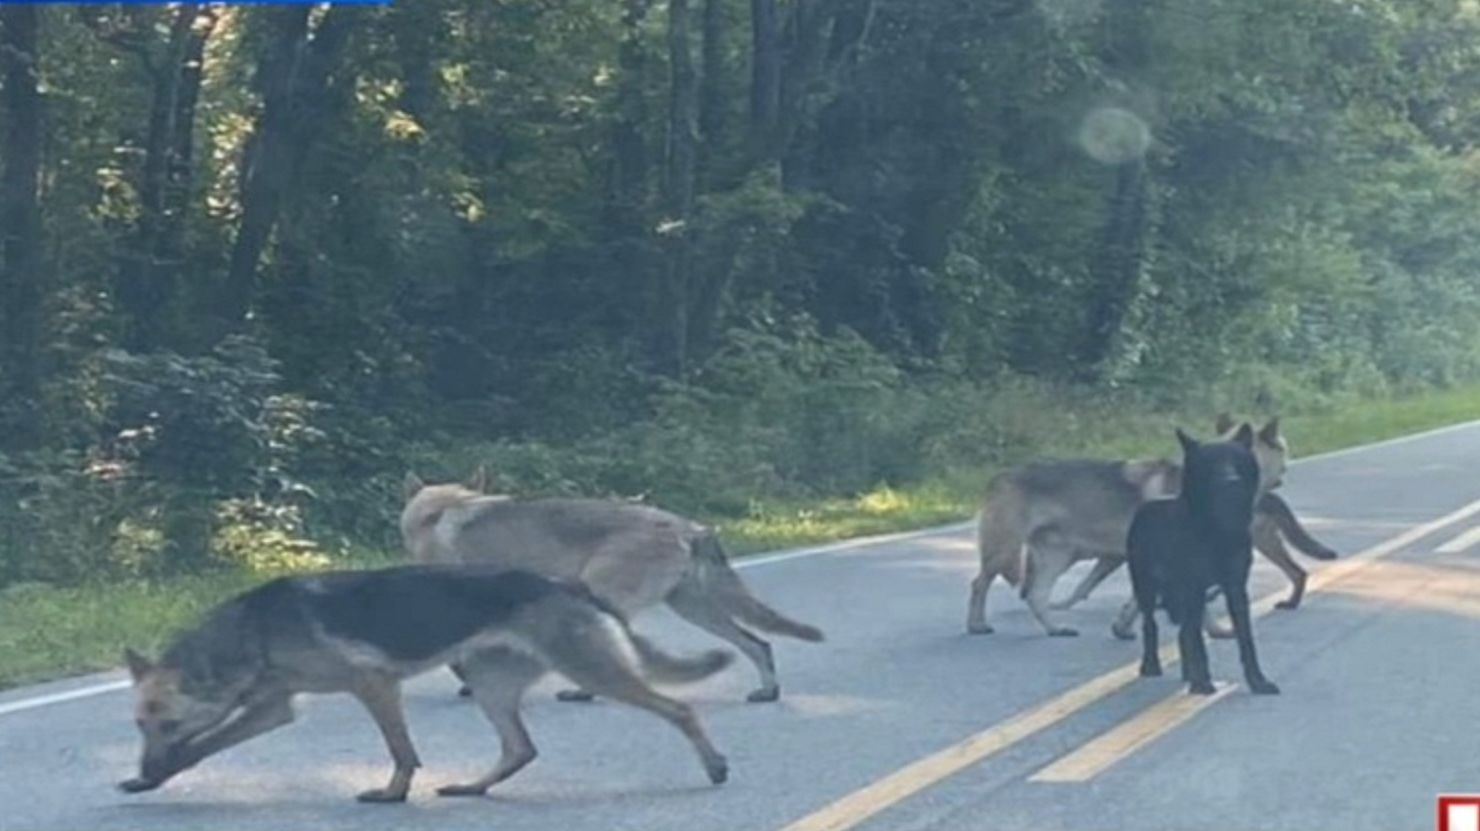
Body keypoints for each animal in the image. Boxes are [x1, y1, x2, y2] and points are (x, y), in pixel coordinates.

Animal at [121, 565, 734, 799]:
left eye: (166, 722)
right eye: (140, 725)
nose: (145, 767)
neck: (253, 633)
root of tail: (572, 584)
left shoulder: (373, 686)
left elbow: (401, 751)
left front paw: (393, 795)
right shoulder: (272, 708)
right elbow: (206, 746)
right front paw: (151, 781)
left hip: (592, 672)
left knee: (680, 710)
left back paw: (714, 766)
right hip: (489, 684)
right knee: (520, 748)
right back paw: (472, 787)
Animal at [399, 468, 828, 699]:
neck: (436, 513)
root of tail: (688, 527)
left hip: (609, 599)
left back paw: (584, 691)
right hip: (693, 607)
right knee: (758, 644)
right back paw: (768, 691)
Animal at [964, 414, 1337, 633]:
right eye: (1284, 450)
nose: (1283, 477)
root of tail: (998, 476)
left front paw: (1125, 626)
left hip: (1056, 556)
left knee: (1036, 595)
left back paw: (1056, 627)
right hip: (1006, 549)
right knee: (980, 584)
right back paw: (977, 624)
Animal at [1124, 426, 1278, 693]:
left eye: (1235, 460)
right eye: (1211, 463)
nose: (1231, 482)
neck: (1217, 531)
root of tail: (1144, 508)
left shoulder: (1235, 588)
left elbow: (1246, 640)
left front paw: (1258, 681)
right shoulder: (1192, 588)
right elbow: (1198, 643)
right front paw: (1204, 682)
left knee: (1183, 632)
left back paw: (1188, 675)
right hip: (1146, 587)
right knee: (1151, 625)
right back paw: (1152, 666)